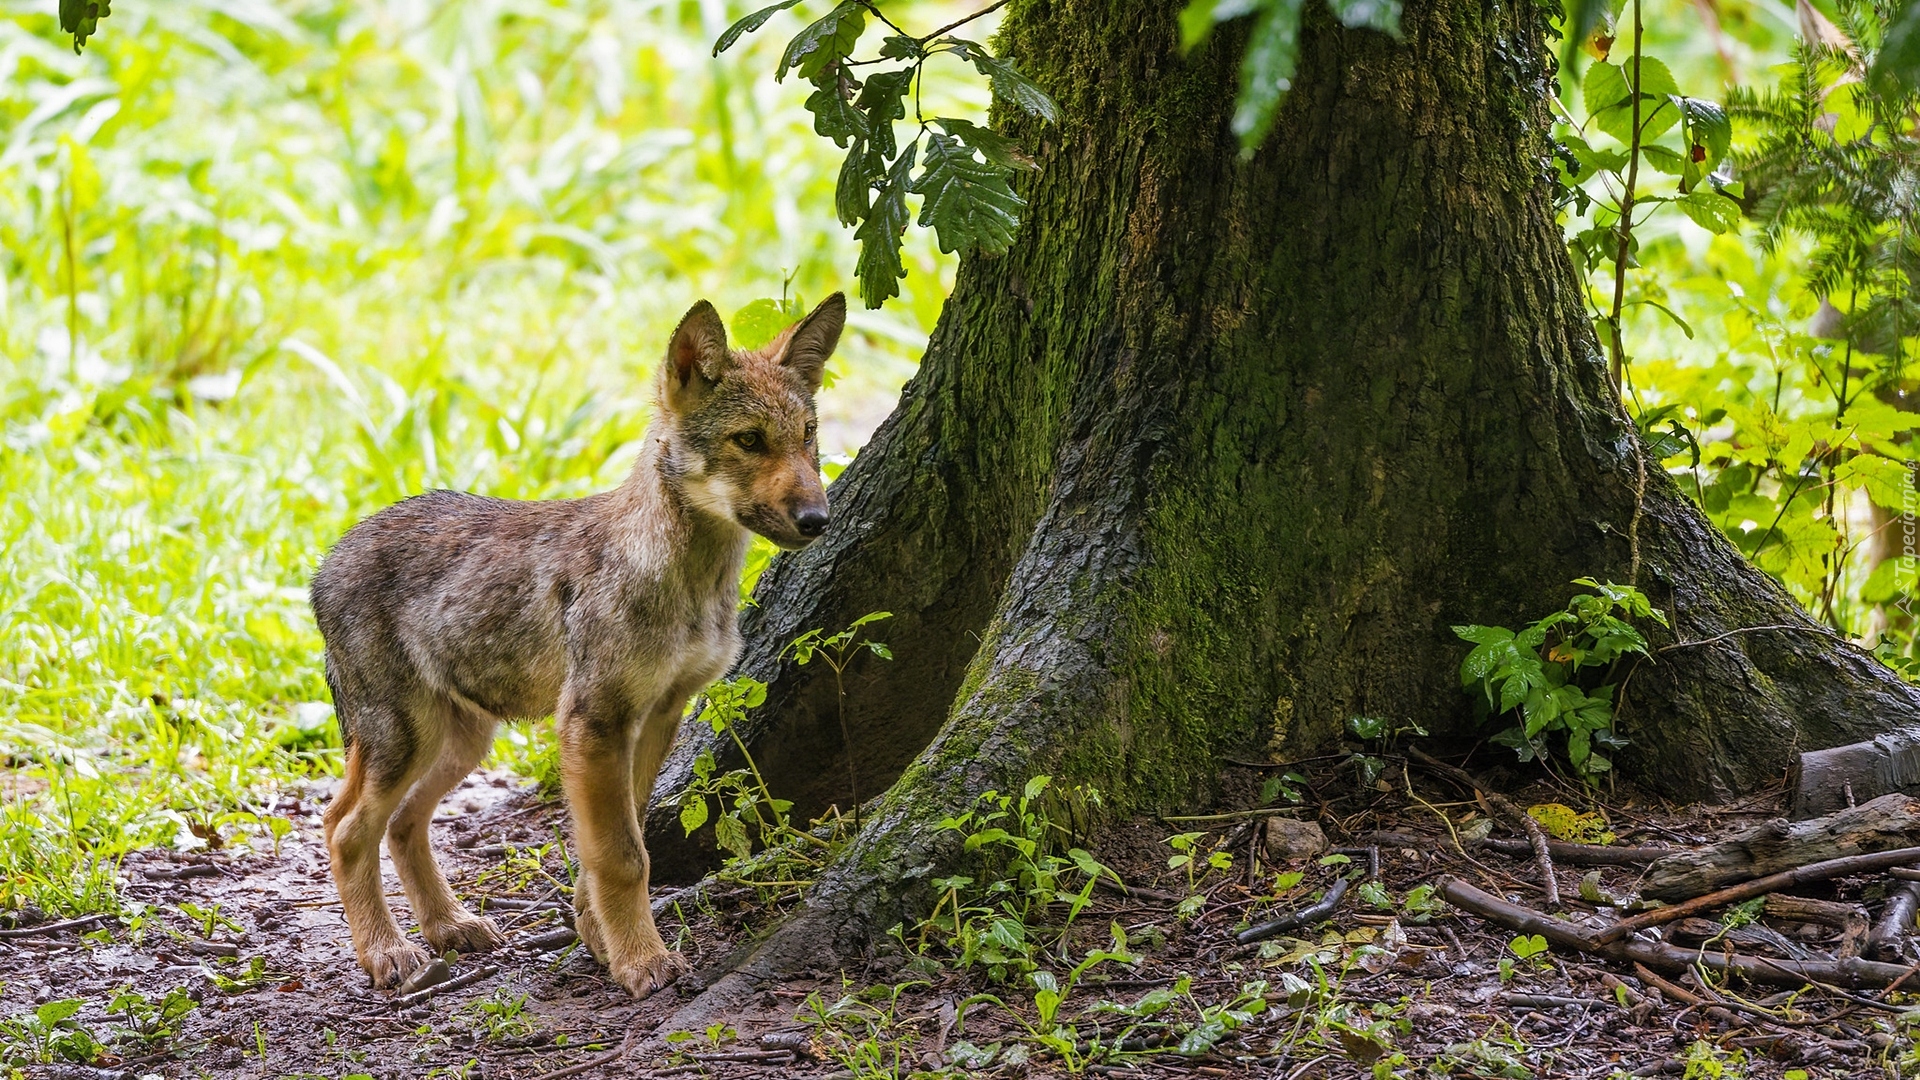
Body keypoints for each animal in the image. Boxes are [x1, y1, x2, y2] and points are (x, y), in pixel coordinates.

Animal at [312, 292, 840, 991]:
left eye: (807, 436)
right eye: (749, 440)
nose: (818, 520)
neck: (689, 581)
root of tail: (326, 561)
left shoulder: (657, 716)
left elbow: (616, 846)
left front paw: (600, 938)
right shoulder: (593, 721)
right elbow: (622, 855)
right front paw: (643, 961)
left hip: (461, 741)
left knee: (400, 824)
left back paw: (449, 926)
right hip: (406, 739)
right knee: (343, 829)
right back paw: (388, 952)